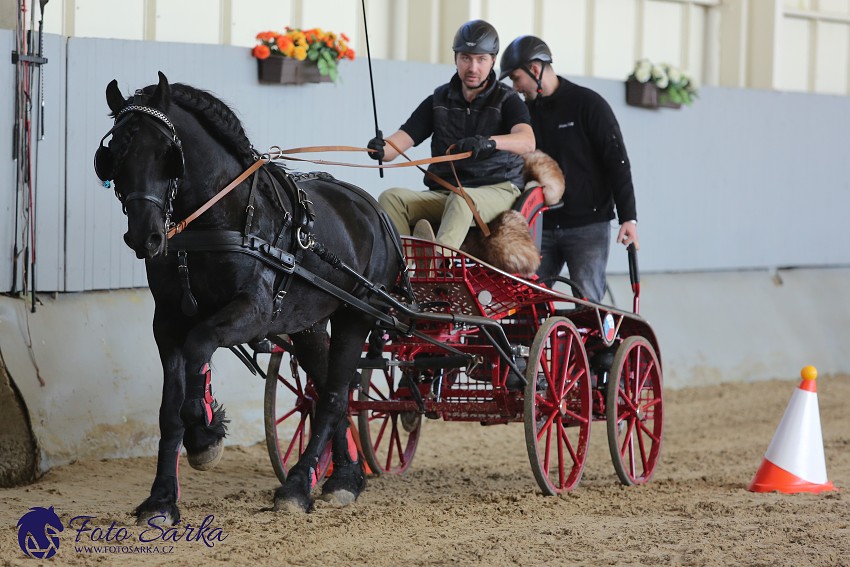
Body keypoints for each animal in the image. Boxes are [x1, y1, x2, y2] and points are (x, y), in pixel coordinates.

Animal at [93, 73, 400, 524]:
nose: (144, 237)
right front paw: (162, 499)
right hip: (308, 324)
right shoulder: (166, 322)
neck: (220, 219)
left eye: (167, 154)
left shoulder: (252, 312)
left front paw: (205, 435)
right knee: (332, 390)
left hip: (356, 315)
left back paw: (298, 486)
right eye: (113, 155)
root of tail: (372, 209)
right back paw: (344, 478)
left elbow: (199, 346)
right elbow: (169, 410)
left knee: (332, 397)